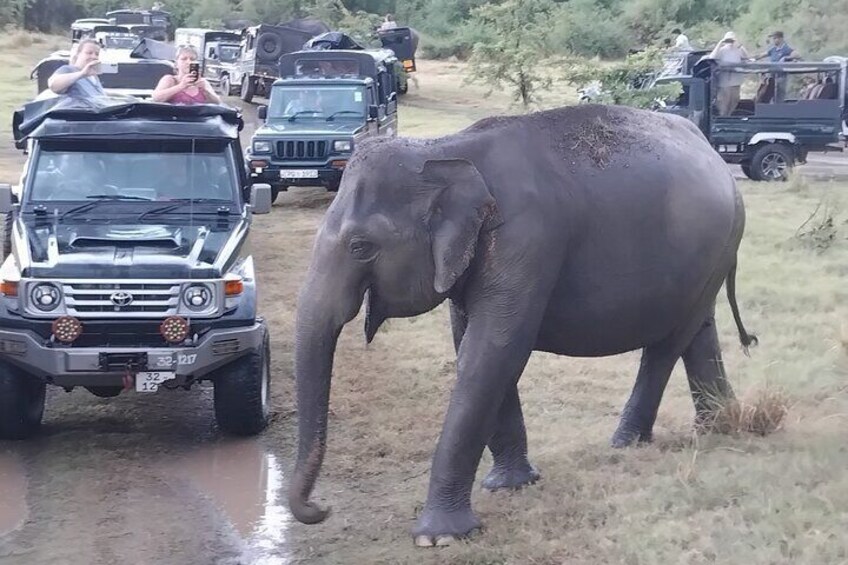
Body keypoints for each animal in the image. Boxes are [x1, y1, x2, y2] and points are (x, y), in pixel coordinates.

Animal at [288, 103, 760, 544]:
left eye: (361, 247)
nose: (321, 509)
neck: (443, 150)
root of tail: (715, 157)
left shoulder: (527, 239)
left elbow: (494, 350)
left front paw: (438, 537)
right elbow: (472, 343)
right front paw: (510, 485)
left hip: (718, 242)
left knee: (665, 345)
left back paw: (628, 442)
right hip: (710, 254)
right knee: (697, 330)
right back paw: (718, 425)